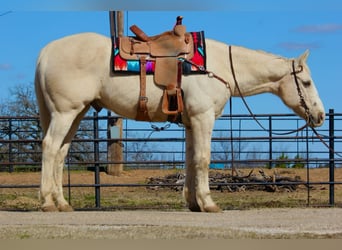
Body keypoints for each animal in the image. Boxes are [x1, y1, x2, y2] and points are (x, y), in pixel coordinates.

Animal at [35, 32, 326, 212]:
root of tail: (46, 52)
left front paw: (193, 203)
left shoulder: (189, 123)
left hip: (76, 113)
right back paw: (47, 202)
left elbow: (190, 160)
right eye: (306, 82)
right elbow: (203, 159)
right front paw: (208, 203)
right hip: (65, 112)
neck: (217, 66)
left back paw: (62, 203)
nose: (321, 115)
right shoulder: (203, 117)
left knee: (60, 153)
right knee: (50, 147)